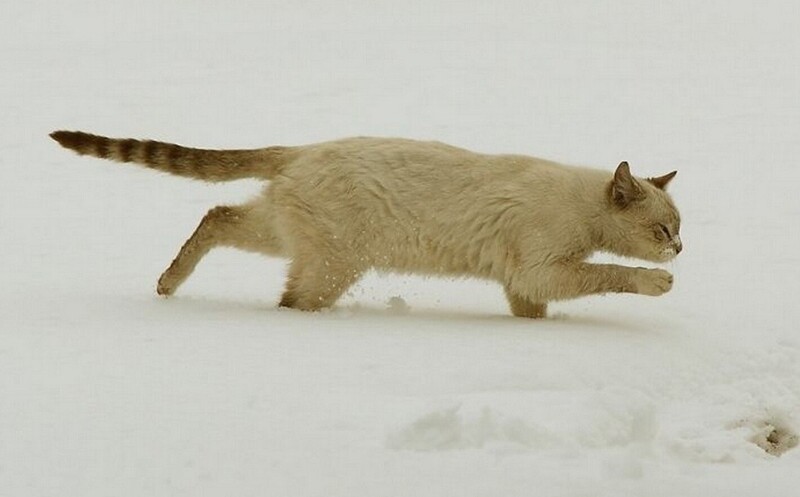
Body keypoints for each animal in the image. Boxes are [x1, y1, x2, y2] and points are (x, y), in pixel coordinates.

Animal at [48, 131, 680, 318]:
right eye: (662, 231)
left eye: (678, 227)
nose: (680, 249)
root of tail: (302, 149)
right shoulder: (542, 269)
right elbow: (610, 274)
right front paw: (658, 284)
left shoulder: (524, 285)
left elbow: (535, 315)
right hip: (333, 265)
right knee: (288, 300)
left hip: (280, 234)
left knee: (216, 216)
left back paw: (167, 284)